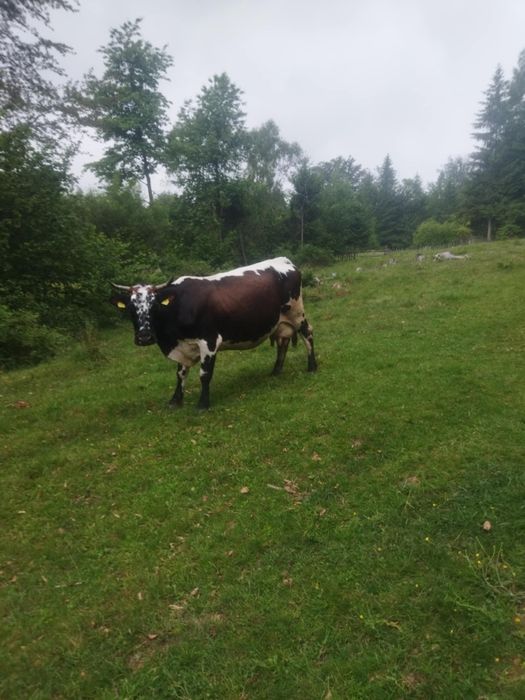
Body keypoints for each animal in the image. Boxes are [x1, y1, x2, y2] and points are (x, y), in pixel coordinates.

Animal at [110, 257, 317, 410]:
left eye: (154, 306)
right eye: (130, 309)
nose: (144, 337)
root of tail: (284, 260)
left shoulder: (208, 341)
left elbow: (204, 374)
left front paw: (203, 404)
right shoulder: (183, 345)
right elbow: (180, 374)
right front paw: (175, 400)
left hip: (297, 313)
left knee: (308, 334)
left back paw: (312, 366)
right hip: (280, 322)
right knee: (283, 342)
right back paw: (276, 371)